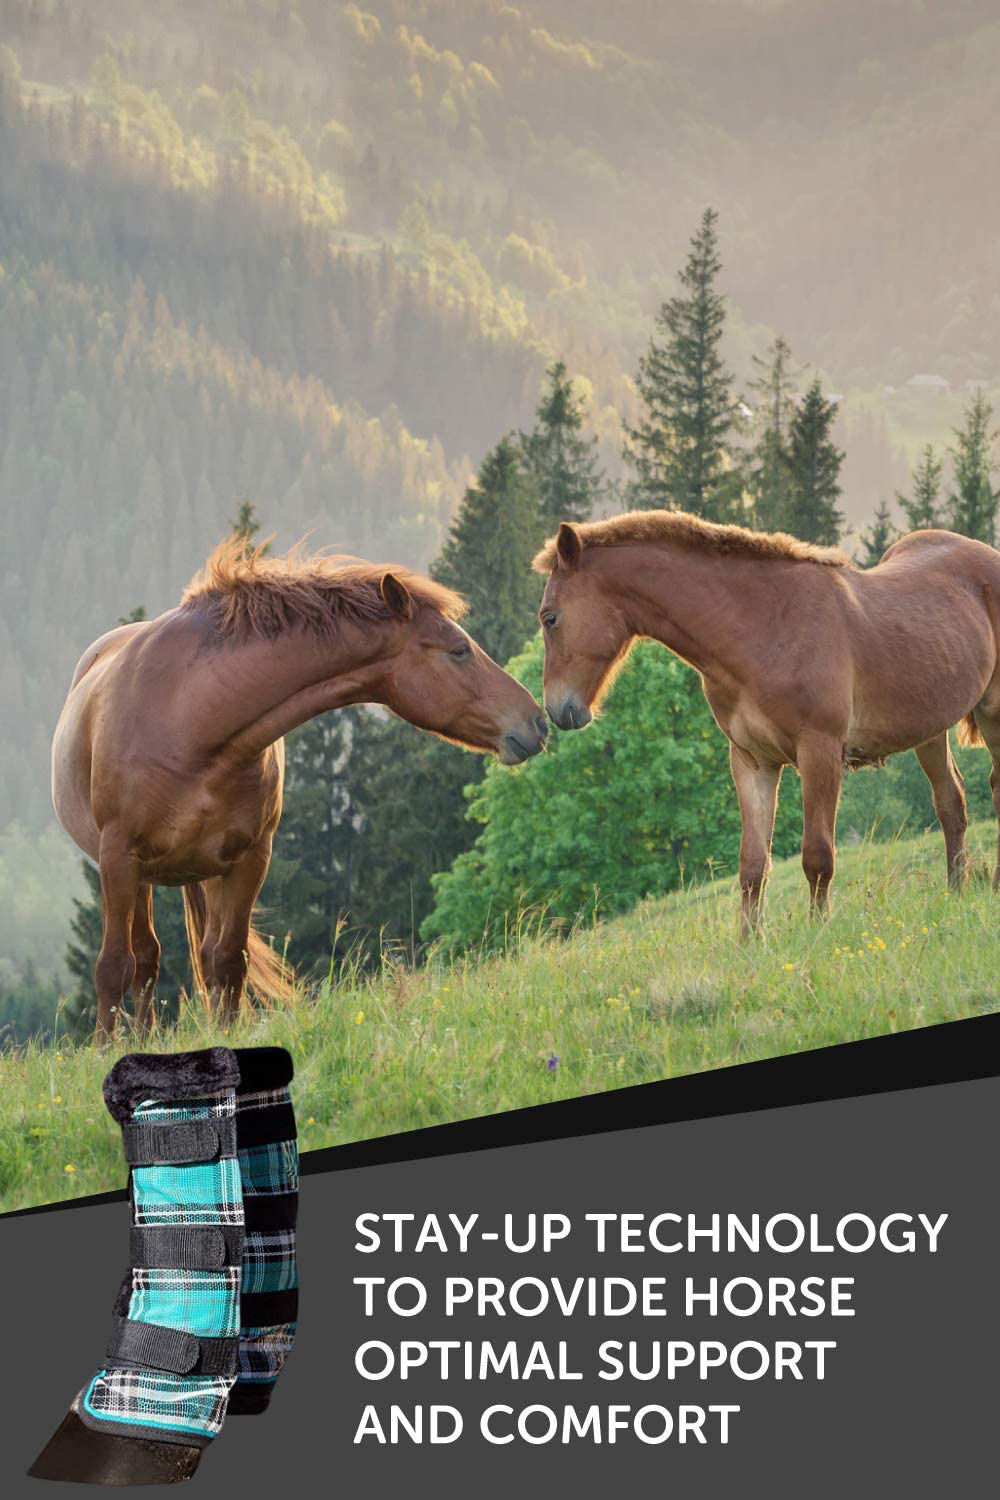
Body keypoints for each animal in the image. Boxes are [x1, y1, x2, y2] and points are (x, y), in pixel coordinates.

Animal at [53, 537, 548, 1037]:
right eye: (459, 650)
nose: (537, 720)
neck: (188, 719)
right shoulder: (119, 859)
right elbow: (114, 965)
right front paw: (105, 1047)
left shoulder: (249, 859)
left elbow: (228, 960)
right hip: (136, 877)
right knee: (145, 959)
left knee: (196, 956)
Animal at [533, 511, 1000, 934]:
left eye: (549, 617)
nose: (558, 710)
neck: (763, 629)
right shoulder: (752, 760)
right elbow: (753, 864)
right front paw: (749, 941)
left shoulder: (820, 753)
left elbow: (817, 855)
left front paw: (817, 931)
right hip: (930, 730)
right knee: (951, 804)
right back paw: (955, 892)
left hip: (992, 714)